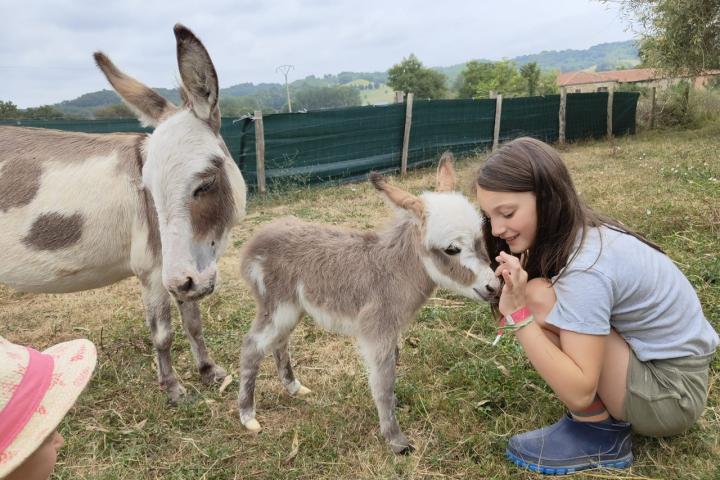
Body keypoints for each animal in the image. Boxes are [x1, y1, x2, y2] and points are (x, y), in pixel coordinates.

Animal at [239, 155, 498, 454]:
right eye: (452, 249)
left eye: (480, 237)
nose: (494, 286)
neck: (394, 270)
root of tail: (256, 240)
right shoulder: (377, 329)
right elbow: (383, 383)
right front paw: (397, 441)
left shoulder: (391, 330)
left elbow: (391, 371)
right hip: (277, 304)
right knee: (252, 347)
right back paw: (248, 417)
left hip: (291, 308)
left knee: (279, 342)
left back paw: (294, 388)